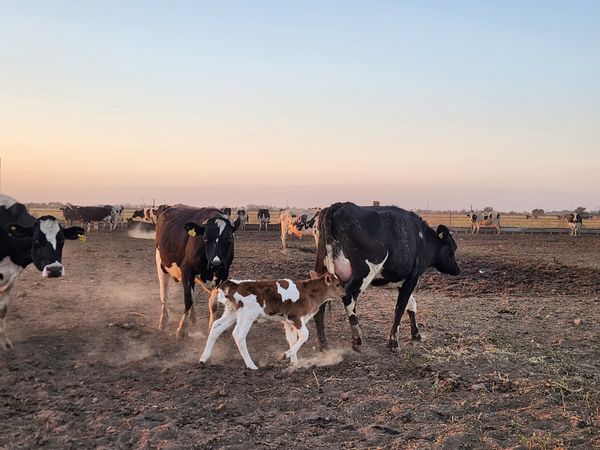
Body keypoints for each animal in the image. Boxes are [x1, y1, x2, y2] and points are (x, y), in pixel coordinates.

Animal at [0, 195, 85, 350]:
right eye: (36, 240)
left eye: (62, 240)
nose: (55, 270)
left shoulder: (11, 279)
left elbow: (3, 310)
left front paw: (5, 342)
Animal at [154, 204, 240, 338]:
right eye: (205, 239)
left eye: (229, 239)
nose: (216, 263)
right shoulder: (187, 270)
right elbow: (188, 299)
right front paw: (182, 329)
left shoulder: (223, 275)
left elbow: (213, 304)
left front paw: (211, 327)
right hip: (161, 264)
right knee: (164, 294)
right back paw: (163, 321)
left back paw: (193, 320)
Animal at [200, 270, 344, 370]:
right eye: (337, 284)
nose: (345, 292)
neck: (309, 292)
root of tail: (234, 285)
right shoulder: (295, 316)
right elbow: (304, 335)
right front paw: (285, 355)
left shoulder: (287, 321)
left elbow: (292, 339)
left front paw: (295, 363)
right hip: (247, 315)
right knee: (238, 335)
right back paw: (251, 365)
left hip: (232, 312)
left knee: (216, 327)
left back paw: (203, 359)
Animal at [312, 203, 462, 352]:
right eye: (453, 247)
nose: (458, 270)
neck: (422, 239)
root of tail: (340, 205)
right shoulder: (413, 277)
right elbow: (400, 308)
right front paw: (394, 342)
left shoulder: (402, 281)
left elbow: (411, 305)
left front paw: (416, 334)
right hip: (364, 272)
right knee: (348, 297)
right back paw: (357, 339)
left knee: (320, 302)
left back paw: (324, 343)